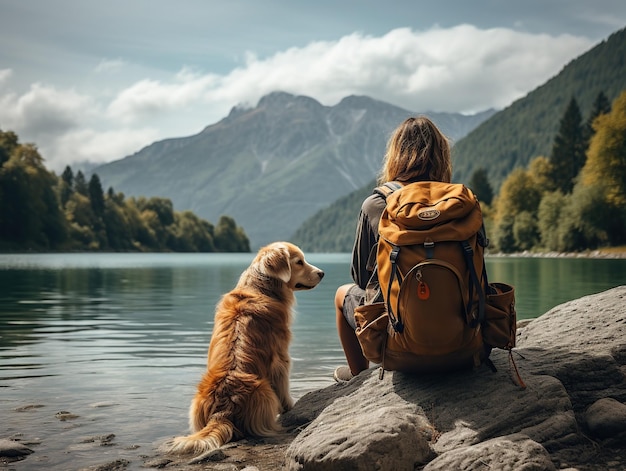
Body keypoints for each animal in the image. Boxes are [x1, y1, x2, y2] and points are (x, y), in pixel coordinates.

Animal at [165, 242, 322, 460]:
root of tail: (221, 412)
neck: (260, 288)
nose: (322, 273)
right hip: (265, 391)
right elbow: (284, 387)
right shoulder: (281, 358)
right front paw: (290, 406)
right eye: (299, 262)